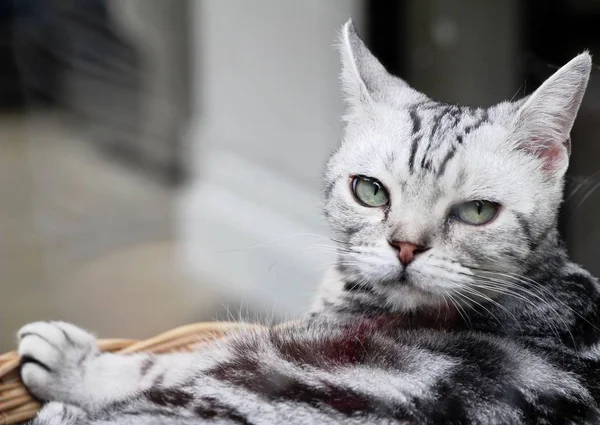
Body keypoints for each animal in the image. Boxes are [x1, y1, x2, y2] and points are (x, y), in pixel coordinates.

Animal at [16, 20, 600, 424]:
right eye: (370, 191)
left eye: (477, 212)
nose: (405, 247)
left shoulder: (253, 352)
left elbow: (166, 362)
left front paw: (76, 363)